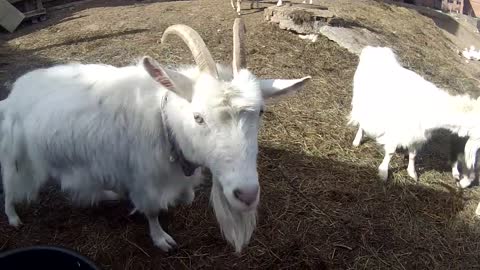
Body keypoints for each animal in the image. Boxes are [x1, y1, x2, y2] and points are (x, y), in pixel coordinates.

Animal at [0, 19, 312, 253]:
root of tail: (15, 92)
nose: (246, 195)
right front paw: (162, 239)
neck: (164, 123)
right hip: (17, 157)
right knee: (10, 186)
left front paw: (185, 197)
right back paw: (13, 218)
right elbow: (150, 211)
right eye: (198, 117)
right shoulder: (143, 179)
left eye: (260, 112)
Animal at [348, 47, 480, 186]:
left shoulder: (416, 135)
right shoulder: (397, 130)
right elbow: (390, 152)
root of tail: (375, 49)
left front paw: (412, 173)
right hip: (362, 99)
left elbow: (413, 154)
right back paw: (357, 141)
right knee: (362, 120)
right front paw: (383, 173)